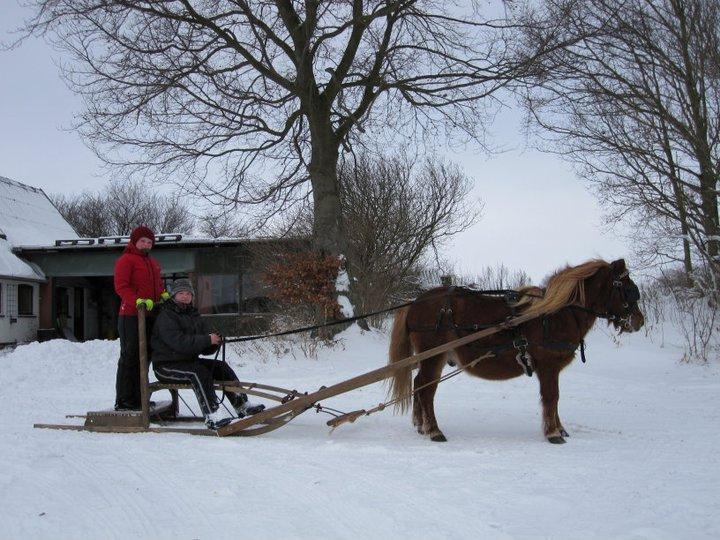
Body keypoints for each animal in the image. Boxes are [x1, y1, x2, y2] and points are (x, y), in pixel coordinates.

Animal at [390, 260, 644, 446]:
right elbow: (552, 397)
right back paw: (434, 430)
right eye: (629, 290)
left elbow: (555, 399)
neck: (557, 314)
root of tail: (415, 302)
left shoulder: (550, 369)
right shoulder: (548, 366)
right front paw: (553, 434)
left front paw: (560, 428)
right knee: (426, 390)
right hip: (433, 356)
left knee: (419, 383)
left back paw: (421, 425)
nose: (639, 321)